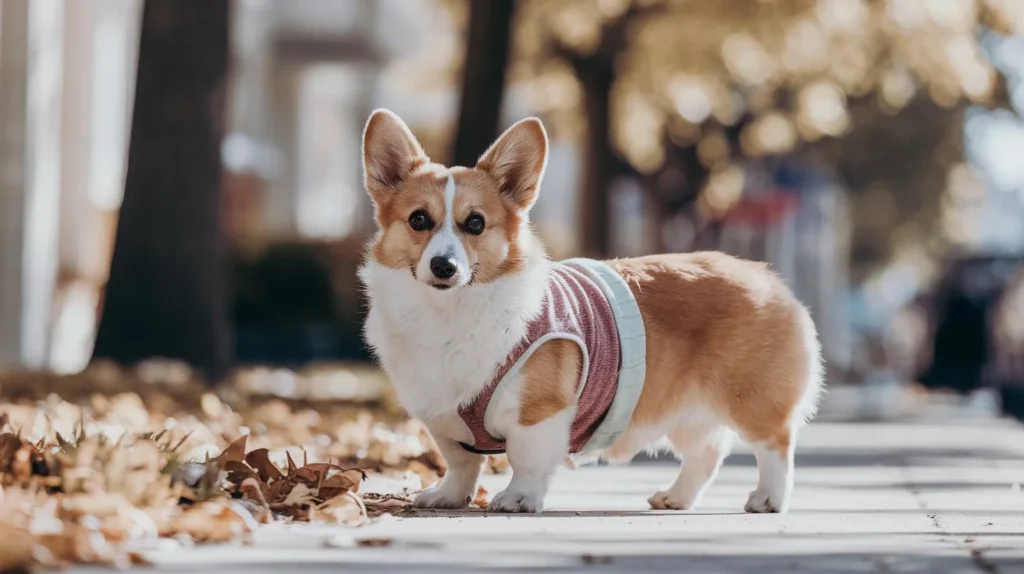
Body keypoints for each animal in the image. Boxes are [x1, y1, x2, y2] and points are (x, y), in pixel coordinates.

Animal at [360, 109, 823, 511]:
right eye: (419, 220)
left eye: (475, 223)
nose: (444, 266)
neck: (449, 312)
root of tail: (767, 277)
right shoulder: (443, 419)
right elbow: (460, 463)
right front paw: (448, 496)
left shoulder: (539, 413)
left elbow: (526, 460)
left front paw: (518, 498)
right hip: (686, 413)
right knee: (705, 454)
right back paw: (675, 497)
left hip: (752, 402)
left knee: (776, 444)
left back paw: (768, 498)